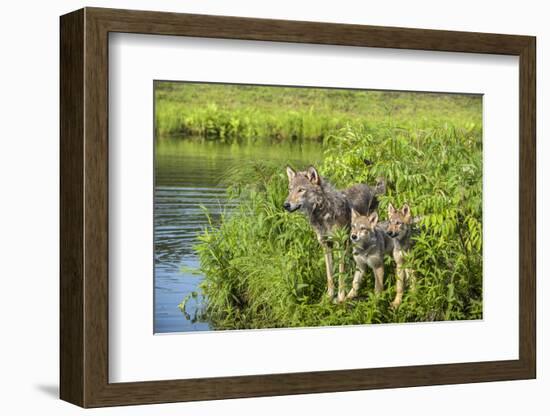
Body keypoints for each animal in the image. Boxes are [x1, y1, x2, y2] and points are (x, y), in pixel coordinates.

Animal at [282, 166, 386, 302]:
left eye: (301, 190)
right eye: (290, 190)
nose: (285, 205)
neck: (323, 214)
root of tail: (371, 187)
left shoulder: (340, 245)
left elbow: (341, 274)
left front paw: (341, 298)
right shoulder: (326, 245)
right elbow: (329, 275)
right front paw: (329, 296)